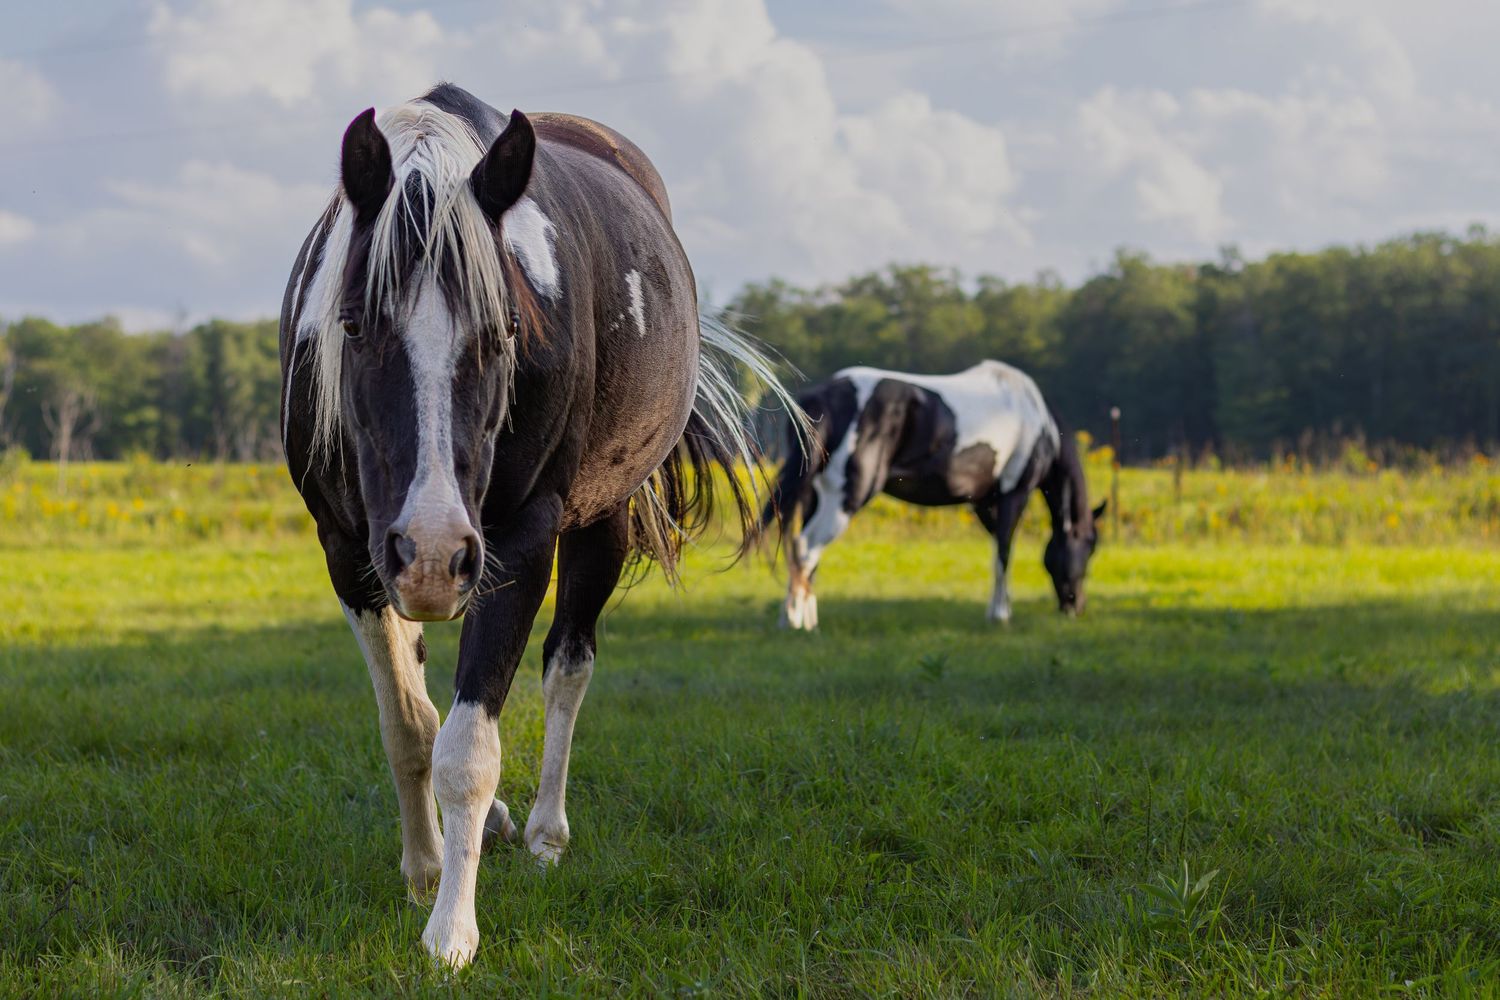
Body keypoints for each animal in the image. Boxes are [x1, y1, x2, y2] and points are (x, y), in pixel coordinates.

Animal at [278, 83, 800, 967]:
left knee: (566, 667)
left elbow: (469, 750)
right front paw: (423, 868)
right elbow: (408, 725)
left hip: (597, 524)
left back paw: (546, 831)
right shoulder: (350, 553)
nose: (431, 551)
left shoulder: (518, 541)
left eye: (504, 333)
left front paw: (451, 929)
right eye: (351, 325)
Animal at [760, 360, 1105, 629]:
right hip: (844, 498)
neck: (1035, 416)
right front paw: (1000, 615)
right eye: (1089, 549)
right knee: (806, 548)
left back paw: (803, 618)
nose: (1076, 607)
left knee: (804, 555)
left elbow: (998, 548)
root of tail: (824, 396)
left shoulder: (983, 503)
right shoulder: (1013, 493)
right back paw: (796, 622)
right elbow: (1004, 554)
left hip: (815, 496)